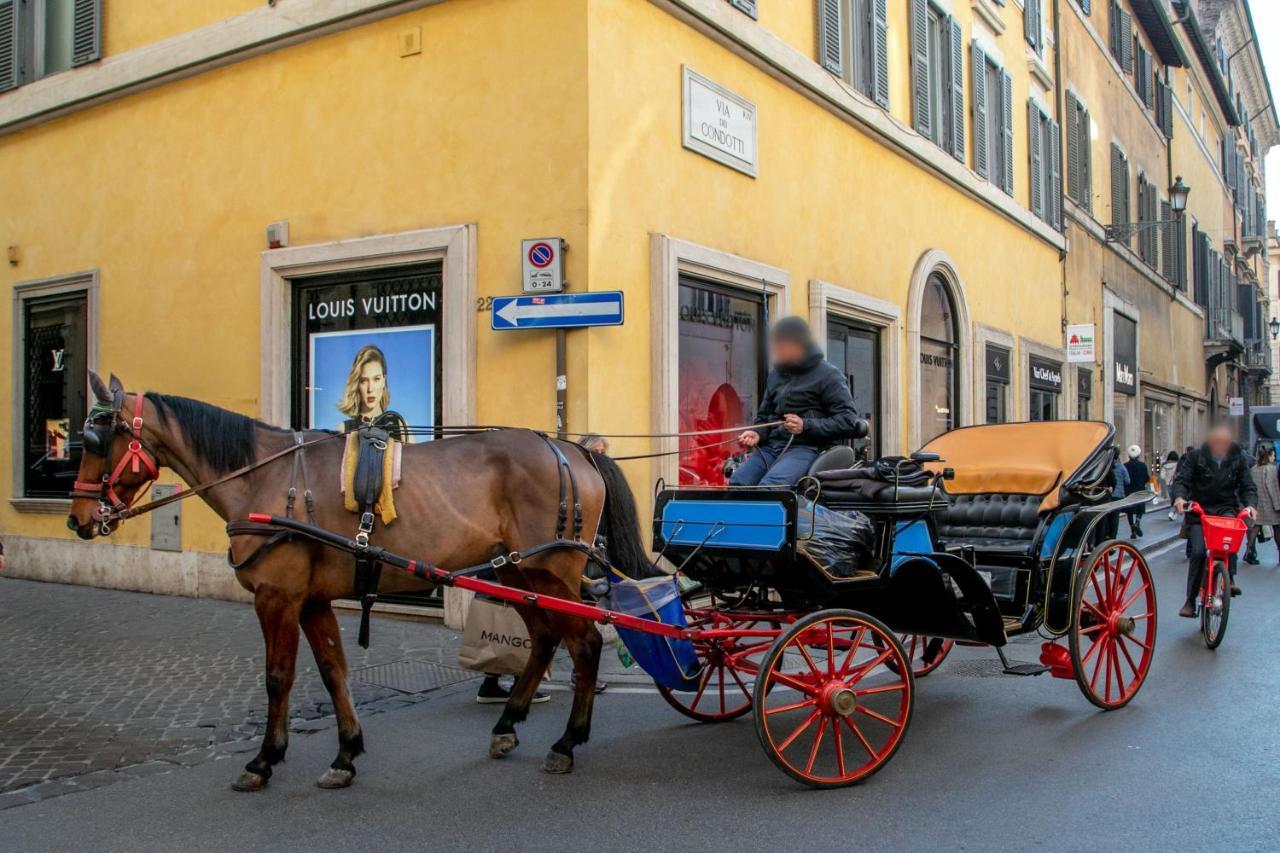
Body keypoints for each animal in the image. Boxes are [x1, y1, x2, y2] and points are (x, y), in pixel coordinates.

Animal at [63, 371, 655, 788]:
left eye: (95, 438)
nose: (78, 519)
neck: (265, 478)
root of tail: (573, 449)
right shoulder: (312, 601)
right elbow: (333, 673)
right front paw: (345, 753)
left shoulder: (278, 599)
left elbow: (278, 677)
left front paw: (264, 759)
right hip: (518, 571)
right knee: (547, 638)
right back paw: (509, 724)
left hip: (551, 573)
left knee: (584, 645)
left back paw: (567, 742)